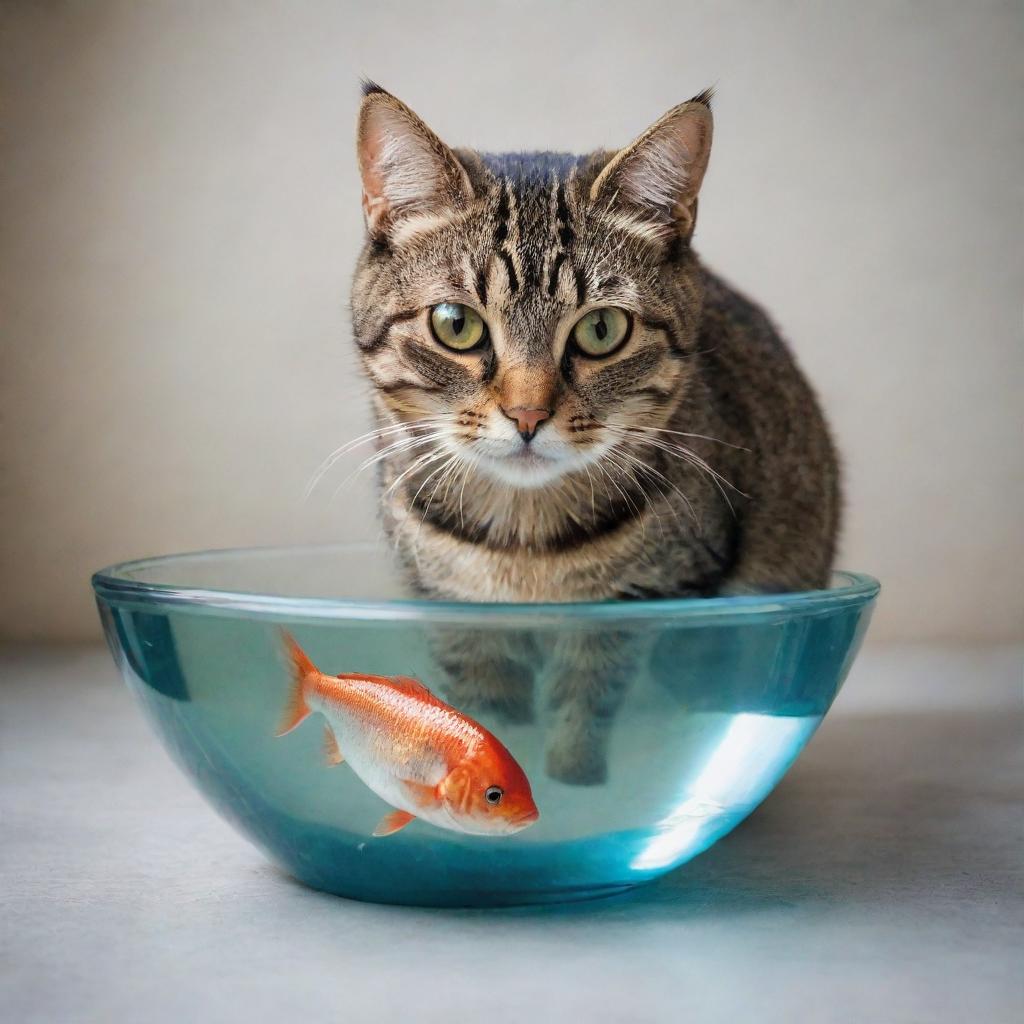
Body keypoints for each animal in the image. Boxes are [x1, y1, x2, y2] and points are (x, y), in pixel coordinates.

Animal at [348, 83, 835, 786]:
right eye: (455, 323)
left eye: (602, 329)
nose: (527, 415)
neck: (523, 544)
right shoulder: (452, 613)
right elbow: (487, 710)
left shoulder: (656, 600)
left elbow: (594, 694)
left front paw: (575, 779)